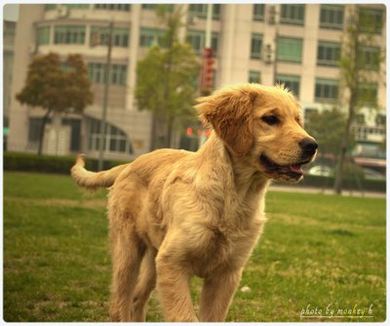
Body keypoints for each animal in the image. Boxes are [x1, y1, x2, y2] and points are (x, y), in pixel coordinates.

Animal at [71, 83, 316, 322]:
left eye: (298, 120)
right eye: (271, 119)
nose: (312, 145)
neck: (233, 197)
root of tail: (129, 165)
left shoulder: (226, 273)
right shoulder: (173, 263)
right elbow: (185, 316)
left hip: (154, 258)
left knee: (137, 298)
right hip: (128, 250)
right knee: (120, 302)